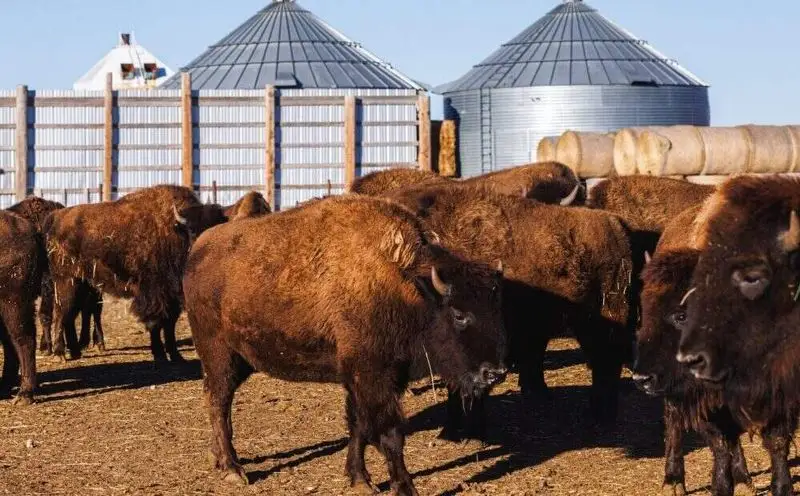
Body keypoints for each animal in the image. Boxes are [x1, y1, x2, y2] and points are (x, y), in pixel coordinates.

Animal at [183, 194, 507, 494]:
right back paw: (232, 469)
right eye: (459, 314)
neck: (407, 285)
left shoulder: (368, 377)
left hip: (240, 359)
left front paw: (359, 479)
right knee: (218, 401)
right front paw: (404, 487)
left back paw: (222, 460)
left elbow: (358, 426)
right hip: (219, 355)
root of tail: (199, 249)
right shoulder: (373, 377)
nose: (494, 373)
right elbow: (389, 433)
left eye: (496, 311)